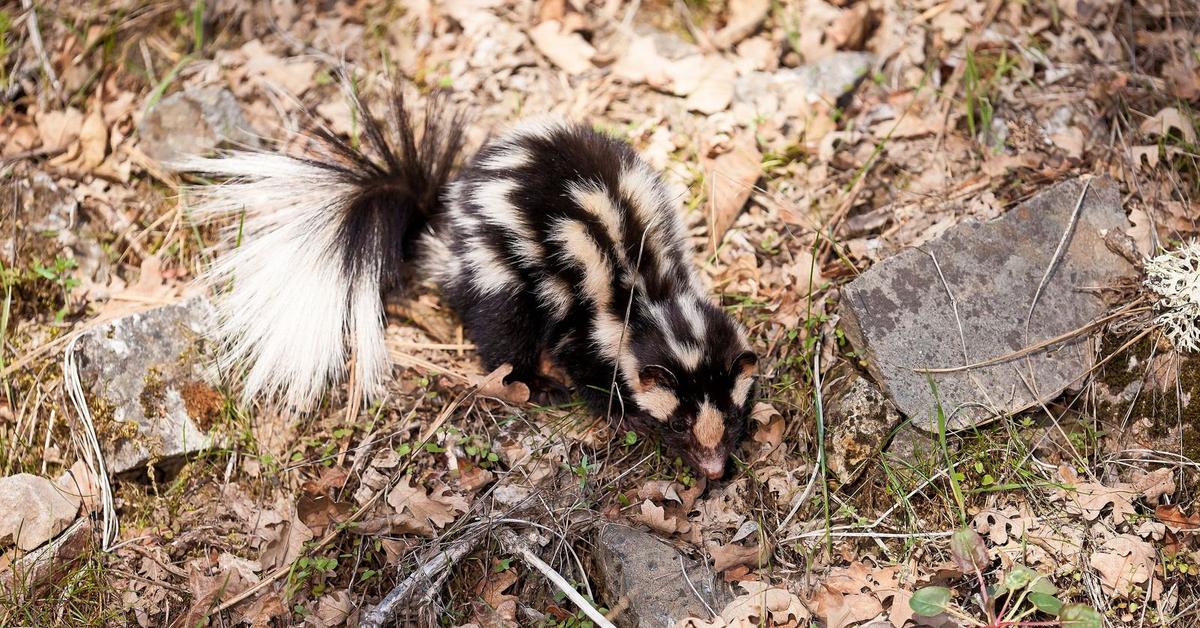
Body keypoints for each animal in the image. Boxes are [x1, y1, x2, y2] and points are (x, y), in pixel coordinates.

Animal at [177, 88, 758, 480]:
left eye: (729, 417)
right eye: (678, 424)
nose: (713, 468)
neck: (649, 293)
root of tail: (448, 230)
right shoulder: (584, 307)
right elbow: (584, 359)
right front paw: (617, 410)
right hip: (498, 264)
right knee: (502, 324)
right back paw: (531, 382)